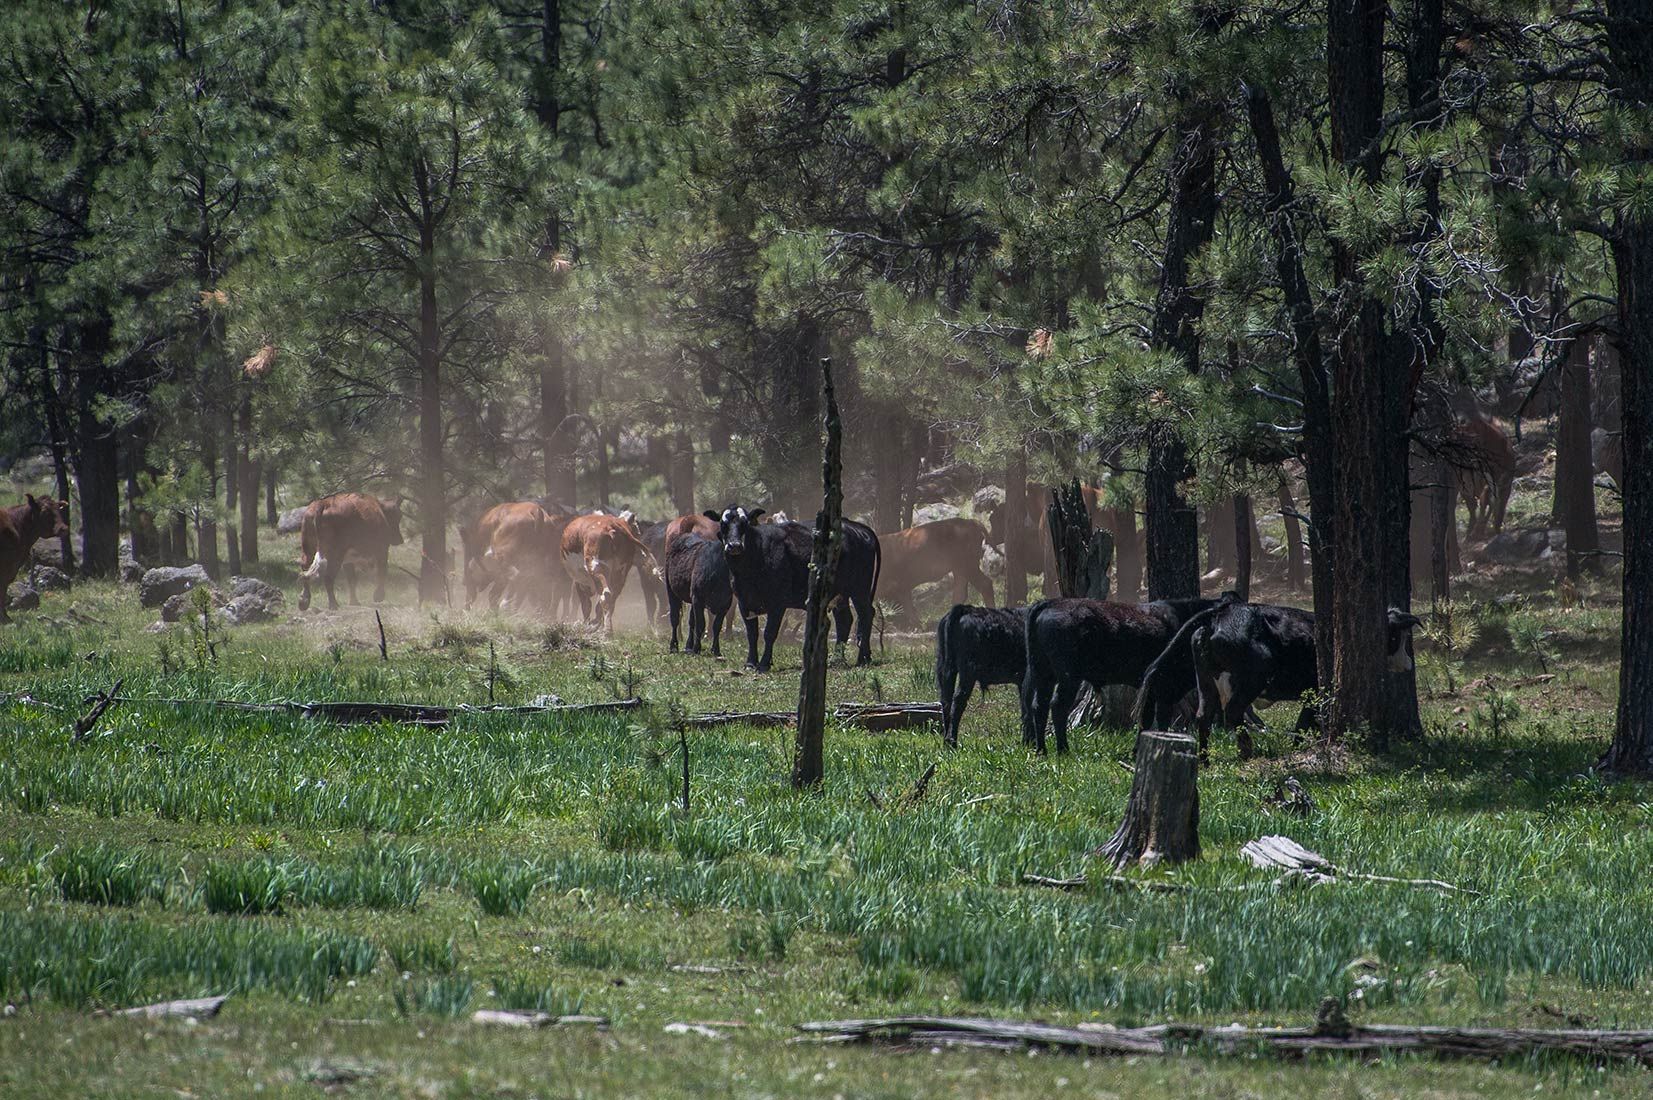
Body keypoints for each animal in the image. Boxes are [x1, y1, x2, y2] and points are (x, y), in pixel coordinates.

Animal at [704, 505, 881, 671]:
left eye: (745, 523)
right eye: (723, 524)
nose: (734, 546)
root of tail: (859, 527)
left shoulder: (777, 603)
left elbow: (769, 633)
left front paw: (764, 664)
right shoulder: (744, 602)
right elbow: (752, 634)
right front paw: (750, 663)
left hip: (860, 590)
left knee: (866, 614)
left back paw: (863, 658)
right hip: (840, 594)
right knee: (844, 619)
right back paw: (838, 659)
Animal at [935, 604, 1028, 747]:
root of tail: (965, 609)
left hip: (946, 669)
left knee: (946, 701)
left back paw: (946, 742)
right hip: (968, 672)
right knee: (958, 701)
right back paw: (953, 742)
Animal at [1020, 596, 1223, 754]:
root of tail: (1050, 603)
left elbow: (1147, 719)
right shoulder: (1161, 687)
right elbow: (1157, 717)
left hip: (1043, 675)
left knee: (1039, 706)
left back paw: (1041, 751)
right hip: (1068, 678)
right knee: (1057, 706)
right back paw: (1063, 750)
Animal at [1135, 597, 1422, 757]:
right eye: (1397, 636)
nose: (1408, 664)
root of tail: (1221, 614)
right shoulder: (1316, 690)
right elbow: (1304, 723)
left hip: (1206, 682)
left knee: (1204, 716)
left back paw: (1205, 761)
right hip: (1250, 680)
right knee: (1233, 713)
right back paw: (1246, 751)